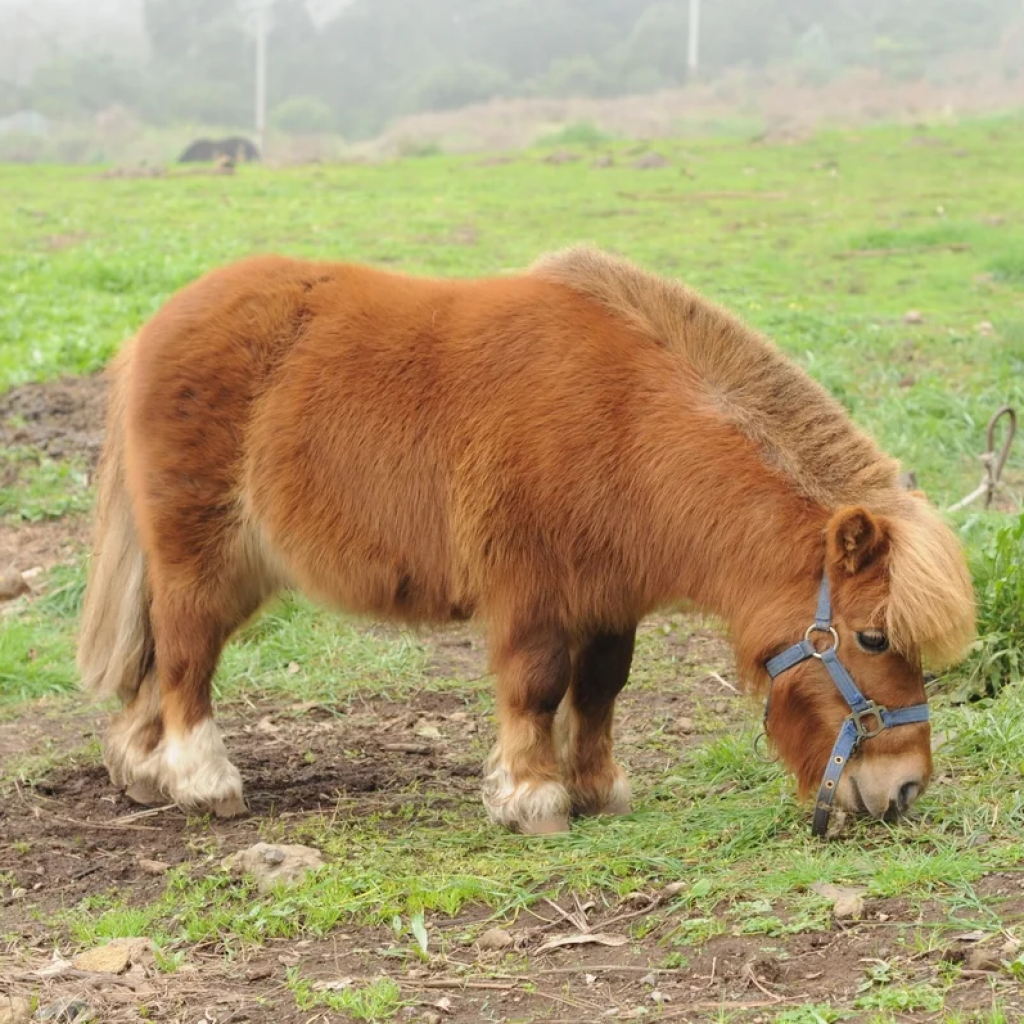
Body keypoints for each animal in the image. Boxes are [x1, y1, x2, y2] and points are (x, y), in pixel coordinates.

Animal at [79, 245, 974, 831]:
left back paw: (144, 769)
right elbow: (538, 686)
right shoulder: (530, 594)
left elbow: (602, 689)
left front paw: (596, 789)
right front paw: (532, 799)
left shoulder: (610, 602)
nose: (903, 791)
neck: (625, 420)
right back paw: (202, 781)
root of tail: (152, 329)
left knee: (157, 659)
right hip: (200, 557)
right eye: (870, 635)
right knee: (186, 652)